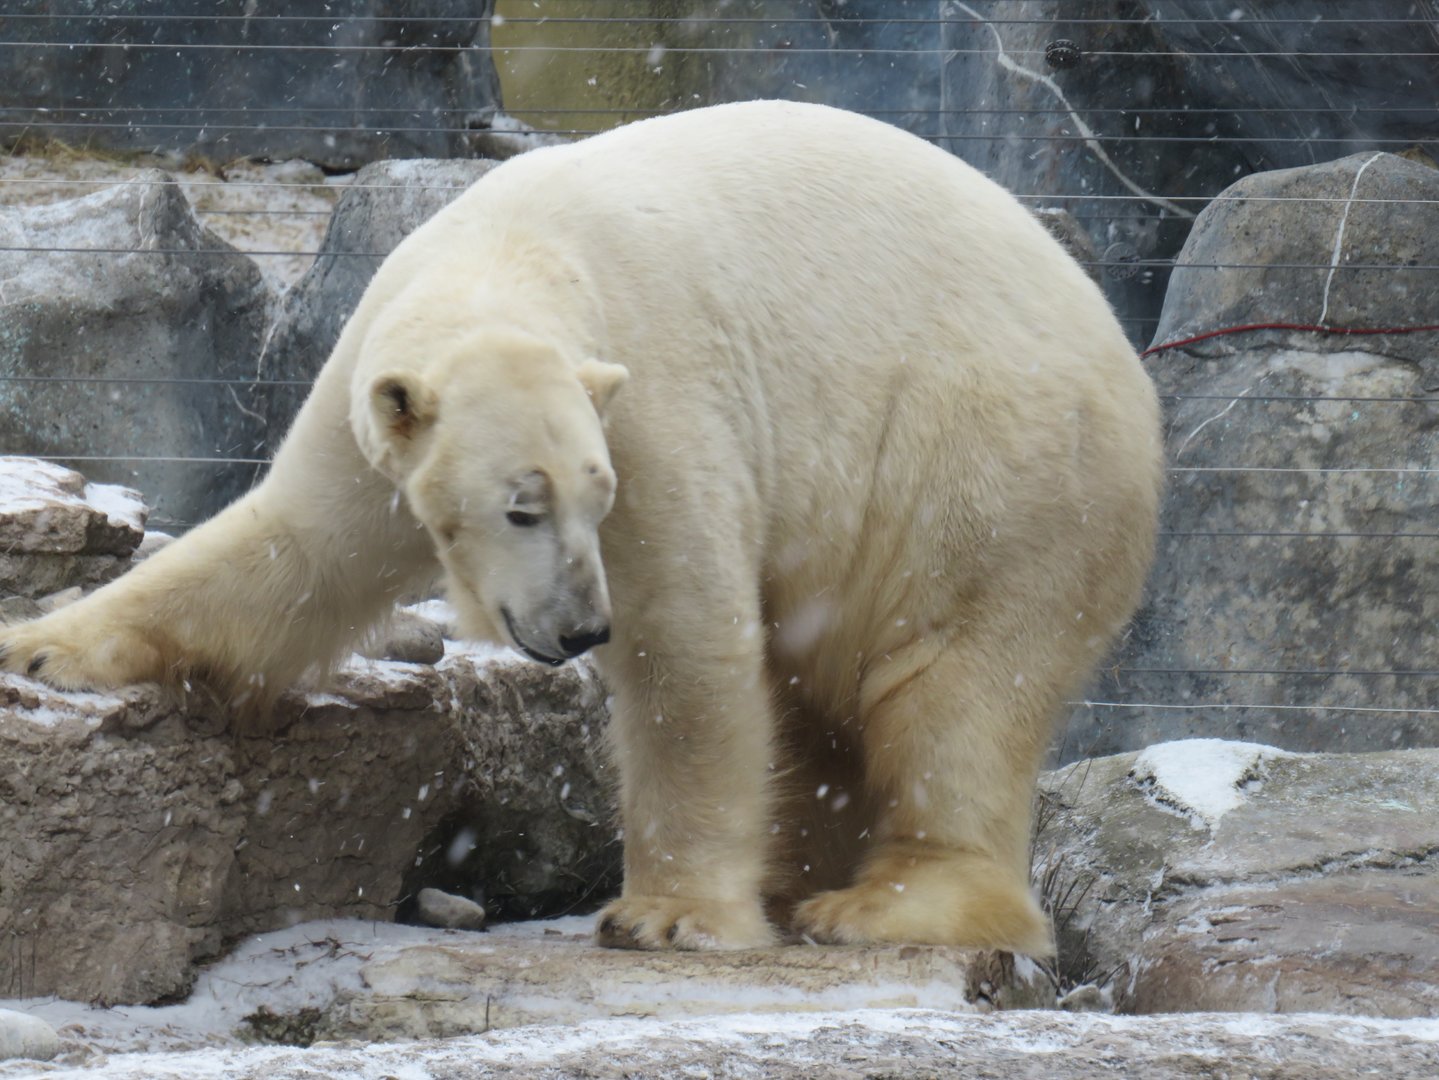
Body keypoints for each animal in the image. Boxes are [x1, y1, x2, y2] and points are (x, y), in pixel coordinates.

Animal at [0, 101, 1162, 955]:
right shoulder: (372, 400)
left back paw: (881, 904)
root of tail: (1125, 359)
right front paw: (42, 645)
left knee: (953, 683)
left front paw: (670, 915)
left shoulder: (656, 397)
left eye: (590, 499)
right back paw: (795, 879)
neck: (518, 248)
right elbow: (292, 551)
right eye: (519, 505)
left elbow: (685, 637)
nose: (575, 629)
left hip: (992, 470)